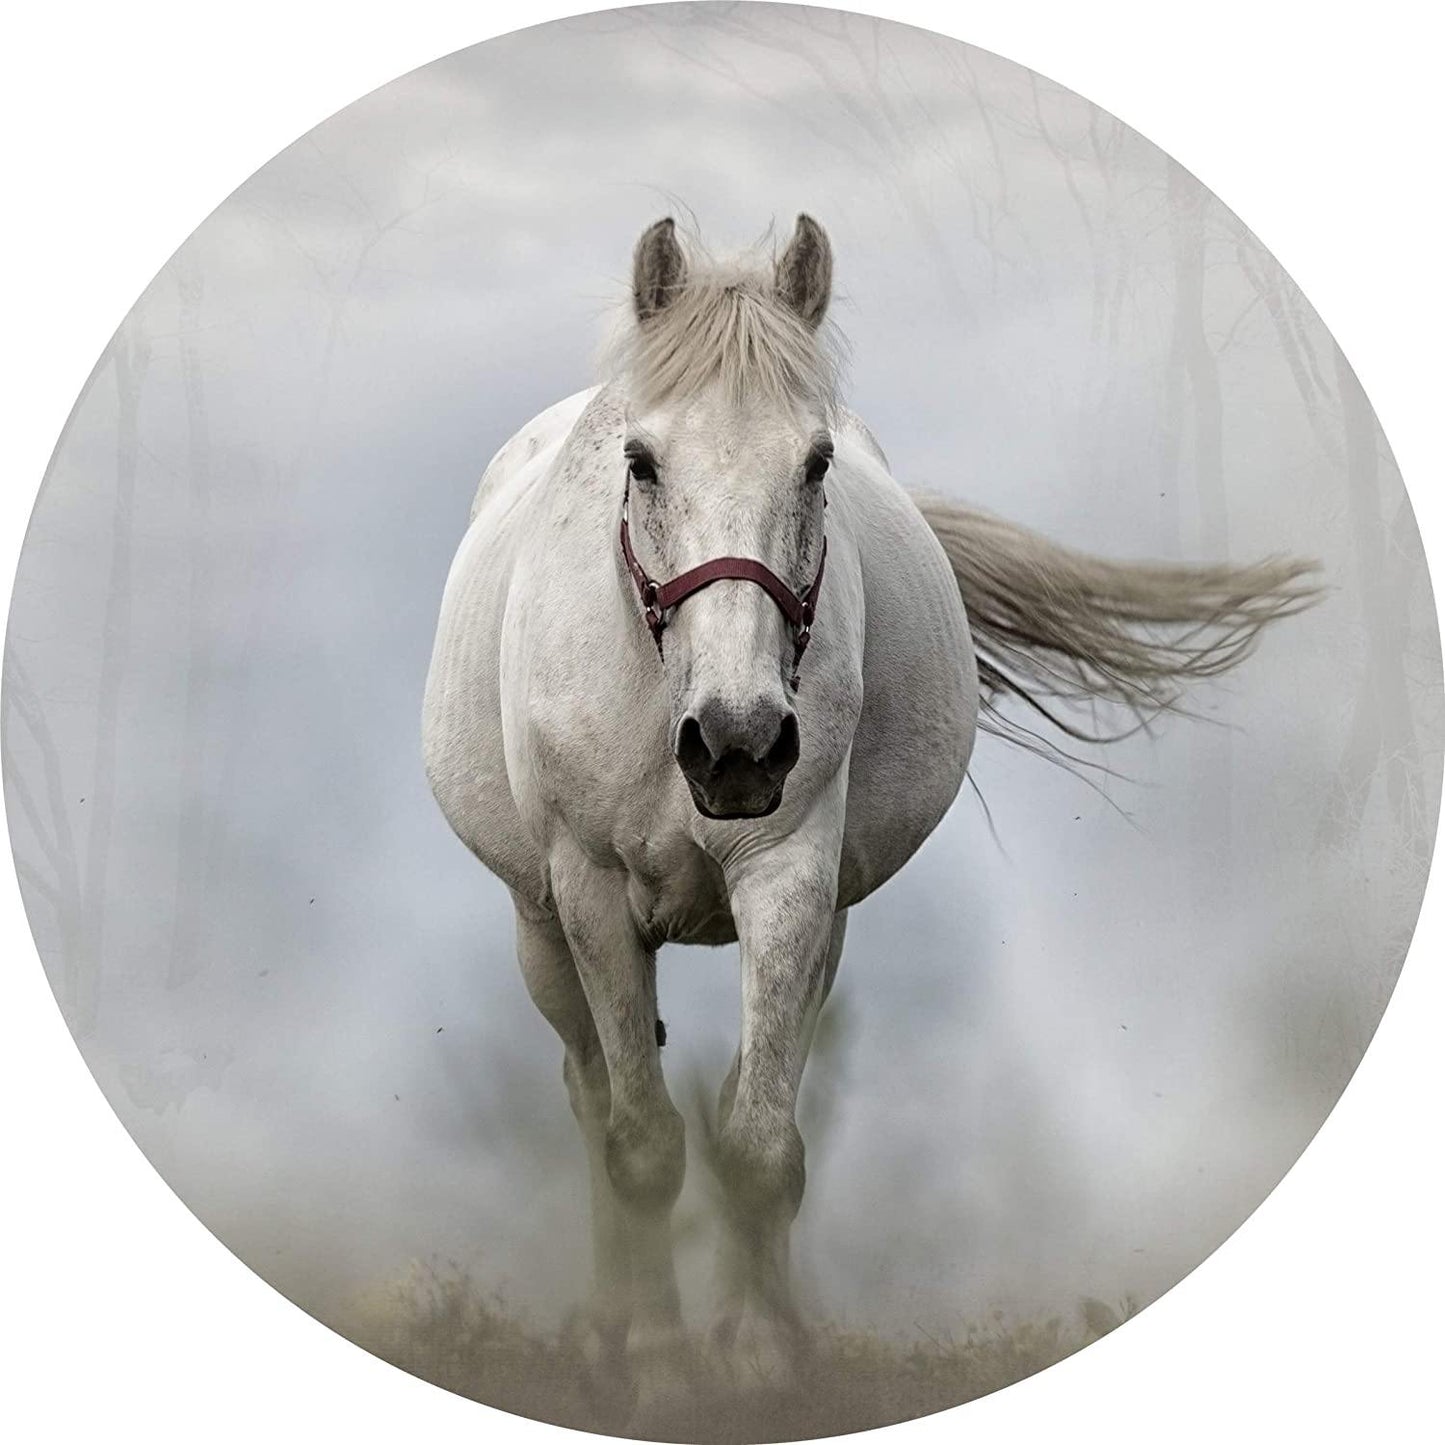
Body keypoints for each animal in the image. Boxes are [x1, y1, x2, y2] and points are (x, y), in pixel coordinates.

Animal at [421, 214, 1318, 1407]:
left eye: (814, 463)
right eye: (641, 460)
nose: (738, 743)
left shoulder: (792, 878)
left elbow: (759, 1141)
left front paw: (759, 1355)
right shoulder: (592, 893)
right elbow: (642, 1141)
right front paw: (654, 1363)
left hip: (821, 926)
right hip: (540, 926)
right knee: (588, 1093)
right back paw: (607, 1325)